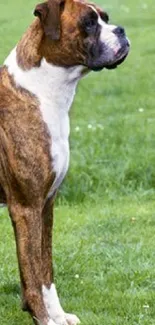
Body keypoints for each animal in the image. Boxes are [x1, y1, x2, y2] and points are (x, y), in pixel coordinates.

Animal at [0, 0, 130, 322]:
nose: (121, 30)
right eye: (89, 23)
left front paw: (57, 316)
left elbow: (45, 270)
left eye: (106, 18)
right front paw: (43, 319)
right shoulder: (26, 208)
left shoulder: (46, 204)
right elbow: (32, 274)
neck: (42, 93)